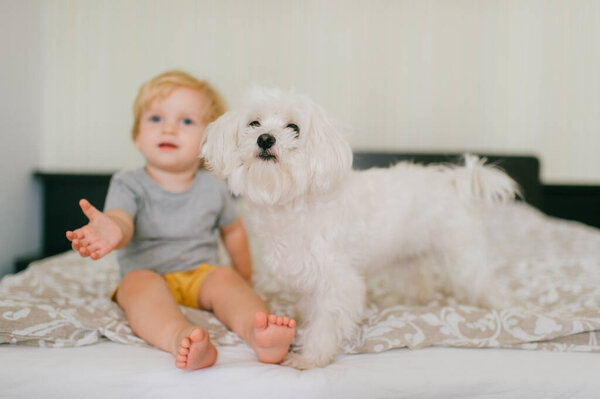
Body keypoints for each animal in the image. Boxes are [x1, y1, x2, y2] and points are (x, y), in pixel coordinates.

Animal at [200, 89, 516, 370]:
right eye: (254, 123)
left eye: (294, 128)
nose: (265, 138)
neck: (292, 204)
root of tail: (451, 180)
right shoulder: (308, 277)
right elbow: (309, 309)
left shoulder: (338, 283)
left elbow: (325, 325)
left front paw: (309, 358)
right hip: (407, 256)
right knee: (419, 285)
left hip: (462, 258)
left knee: (485, 283)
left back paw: (504, 307)